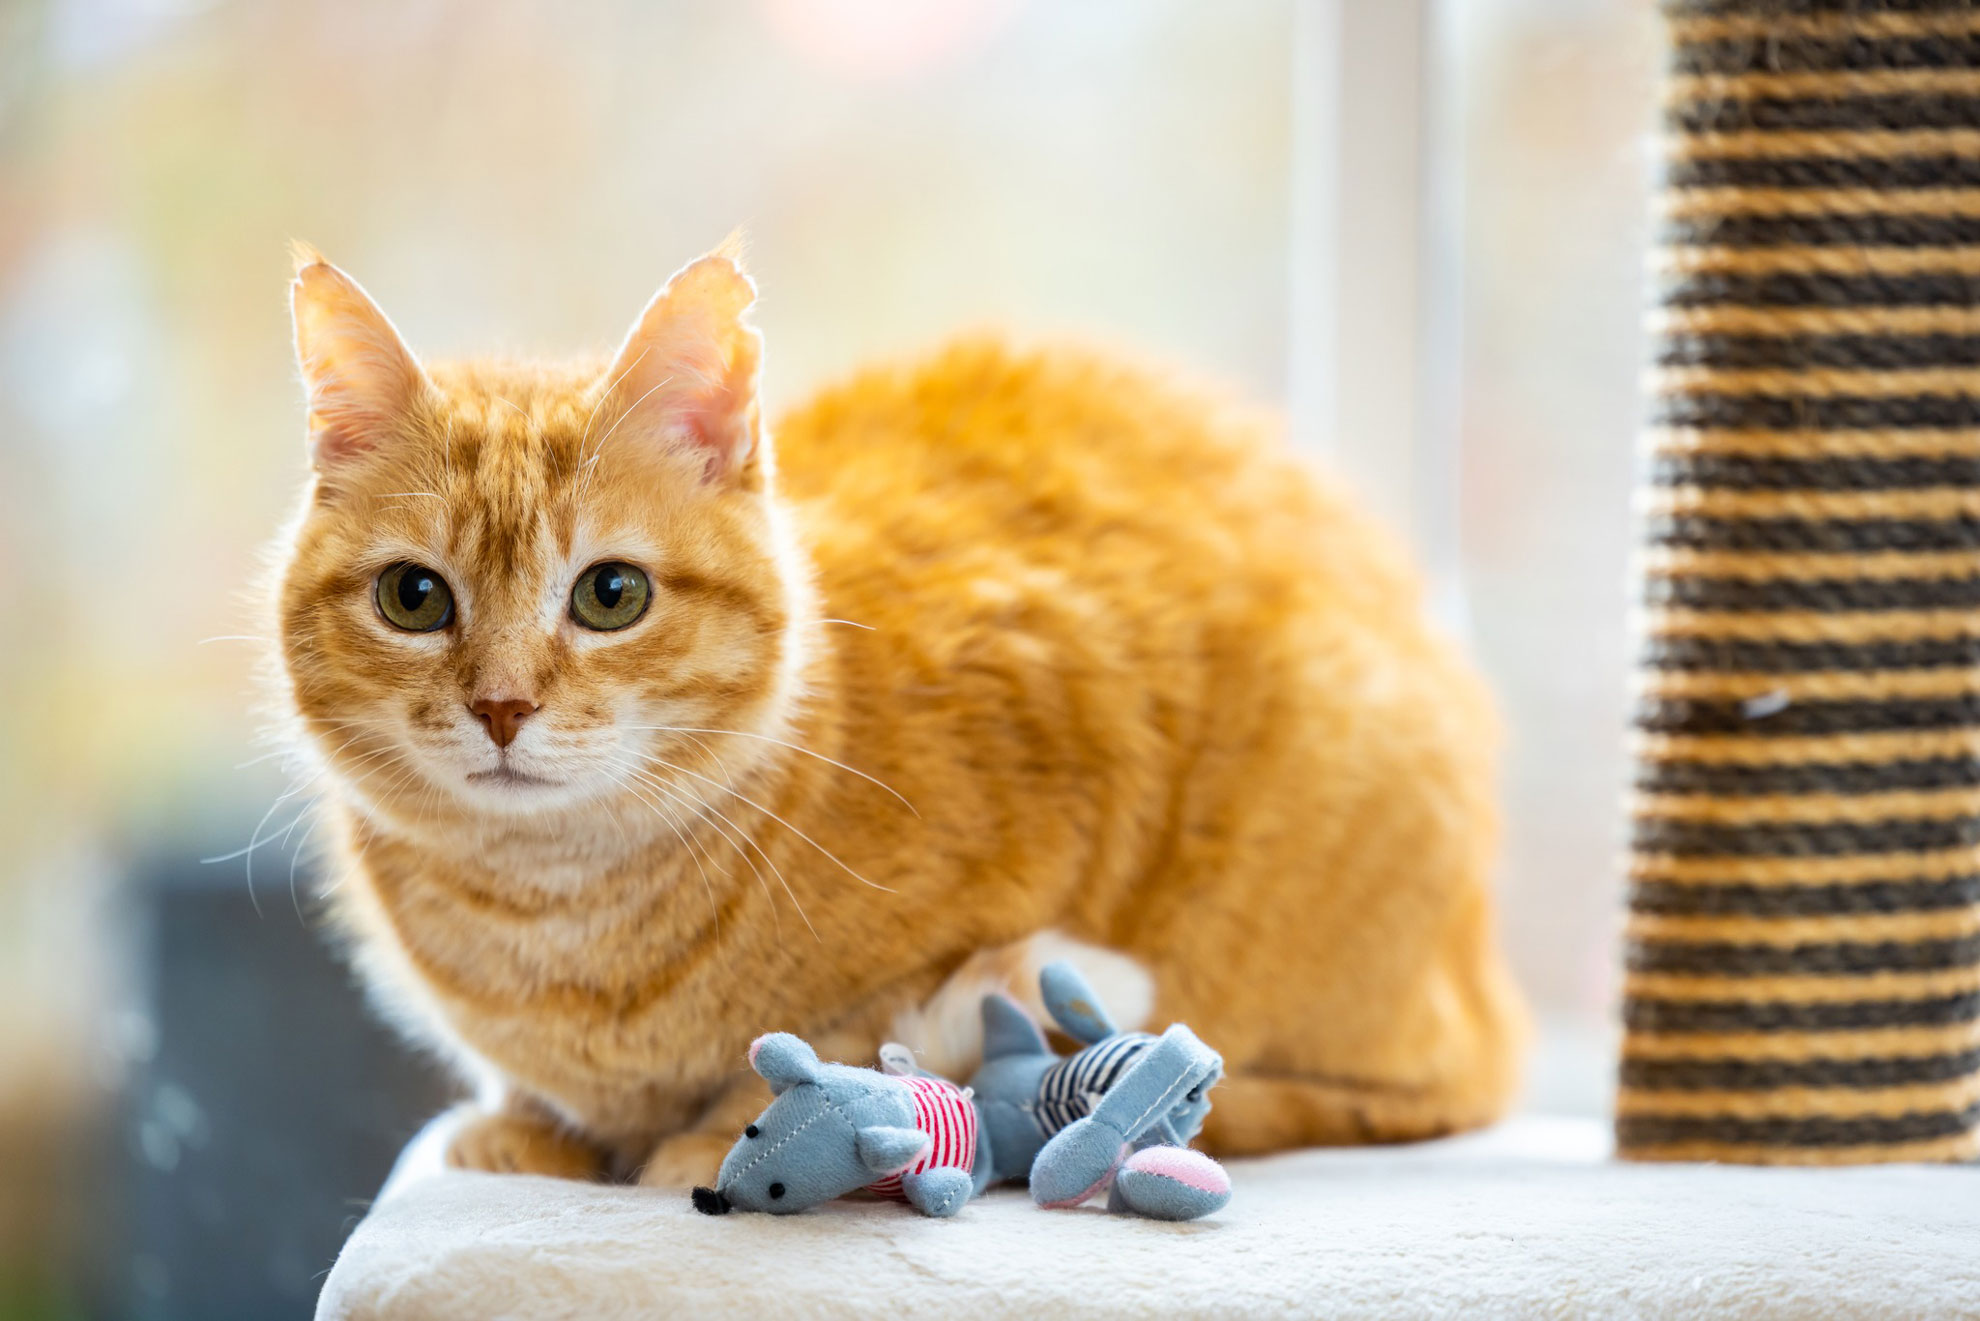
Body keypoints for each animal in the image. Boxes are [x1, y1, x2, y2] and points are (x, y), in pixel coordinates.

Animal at [271, 237, 1520, 1188]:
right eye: (414, 598)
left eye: (610, 595)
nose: (502, 705)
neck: (552, 916)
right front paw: (526, 1128)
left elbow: (835, 1038)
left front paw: (722, 1135)